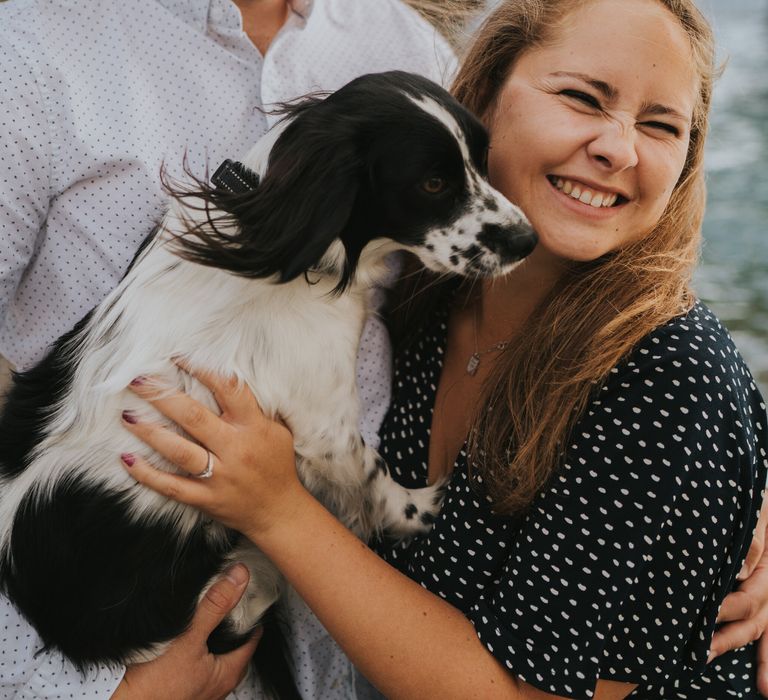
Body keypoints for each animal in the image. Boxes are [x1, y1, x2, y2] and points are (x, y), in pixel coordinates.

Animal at [0, 72, 536, 688]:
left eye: (484, 160)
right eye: (433, 183)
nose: (528, 241)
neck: (277, 244)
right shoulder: (327, 423)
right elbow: (375, 475)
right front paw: (425, 507)